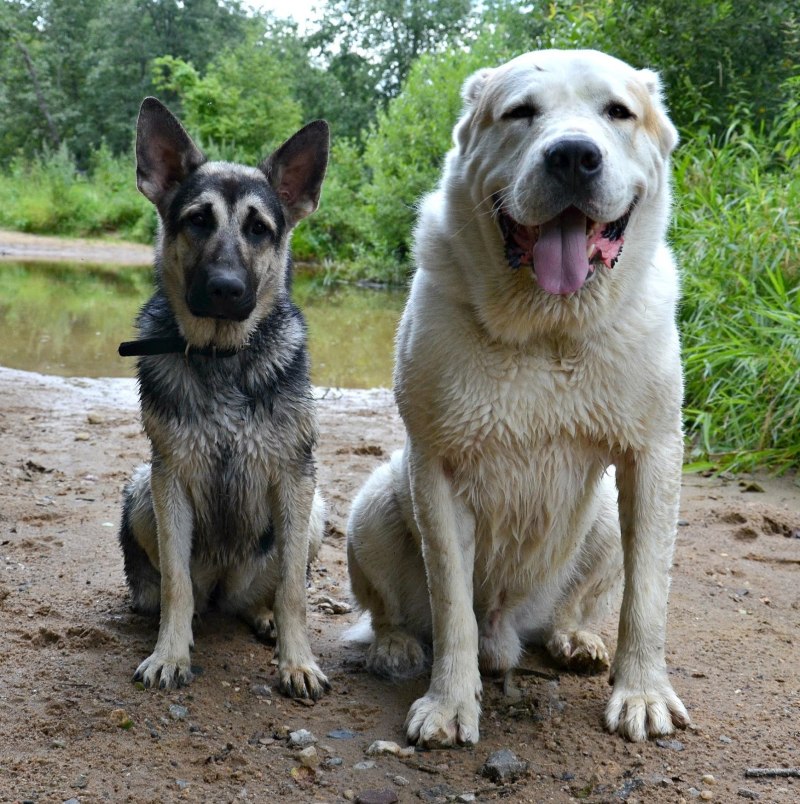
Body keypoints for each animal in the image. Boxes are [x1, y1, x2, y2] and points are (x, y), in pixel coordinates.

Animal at [117, 97, 330, 700]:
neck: (223, 356)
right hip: (140, 492)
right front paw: (169, 652)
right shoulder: (169, 478)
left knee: (269, 591)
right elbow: (175, 585)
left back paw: (262, 617)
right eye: (197, 220)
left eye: (259, 229)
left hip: (315, 512)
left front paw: (297, 662)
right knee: (182, 590)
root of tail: (225, 589)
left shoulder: (295, 478)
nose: (226, 289)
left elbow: (293, 591)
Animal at [346, 50, 692, 744]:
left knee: (578, 604)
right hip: (370, 507)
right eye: (520, 112)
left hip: (604, 519)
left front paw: (642, 693)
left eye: (619, 111)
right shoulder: (436, 467)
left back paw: (575, 639)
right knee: (394, 611)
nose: (574, 156)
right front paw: (450, 703)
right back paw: (395, 647)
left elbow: (646, 599)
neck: (547, 330)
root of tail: (508, 627)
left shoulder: (653, 457)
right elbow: (453, 607)